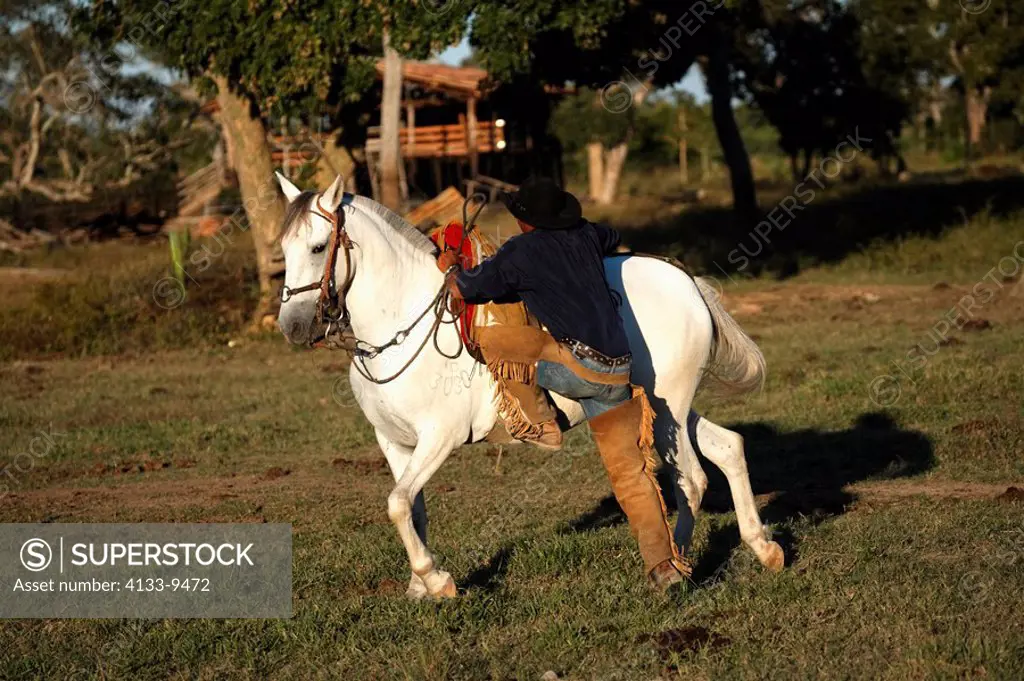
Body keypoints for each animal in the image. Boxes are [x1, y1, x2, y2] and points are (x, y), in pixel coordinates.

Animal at [276, 174, 778, 593]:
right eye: (283, 248)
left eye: (319, 247)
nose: (292, 327)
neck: (400, 322)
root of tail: (684, 280)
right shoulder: (394, 442)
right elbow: (412, 507)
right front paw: (422, 584)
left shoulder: (440, 437)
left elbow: (398, 503)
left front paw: (435, 581)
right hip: (664, 403)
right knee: (727, 447)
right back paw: (762, 547)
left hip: (669, 404)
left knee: (690, 477)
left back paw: (676, 565)